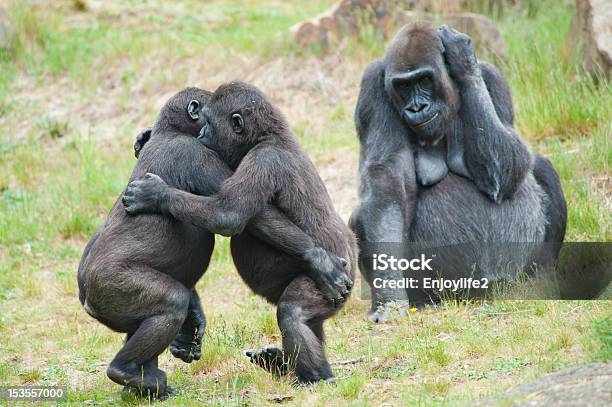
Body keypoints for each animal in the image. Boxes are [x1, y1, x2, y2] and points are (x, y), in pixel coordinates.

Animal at [79, 87, 352, 398]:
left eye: (209, 122)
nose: (203, 133)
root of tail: (86, 299)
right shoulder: (201, 152)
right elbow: (233, 215)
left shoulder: (246, 158)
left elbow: (229, 214)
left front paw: (156, 193)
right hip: (106, 288)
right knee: (172, 303)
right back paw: (132, 373)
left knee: (294, 313)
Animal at [346, 23, 568, 322]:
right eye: (403, 86)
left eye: (424, 80)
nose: (417, 107)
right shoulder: (372, 87)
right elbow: (387, 188)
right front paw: (389, 298)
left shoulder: (493, 77)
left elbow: (511, 165)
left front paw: (464, 61)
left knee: (542, 168)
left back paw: (542, 279)